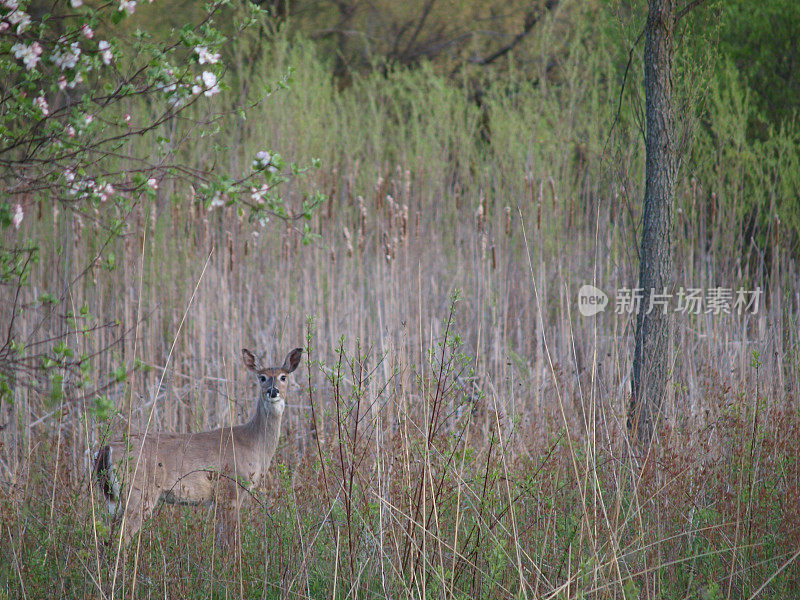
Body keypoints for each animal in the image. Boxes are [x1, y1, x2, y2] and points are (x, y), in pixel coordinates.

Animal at [93, 346, 304, 548]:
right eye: (262, 377)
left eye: (283, 377)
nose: (273, 391)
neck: (253, 442)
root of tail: (107, 448)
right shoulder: (231, 491)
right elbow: (233, 543)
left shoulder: (219, 500)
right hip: (138, 491)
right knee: (120, 539)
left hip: (116, 499)